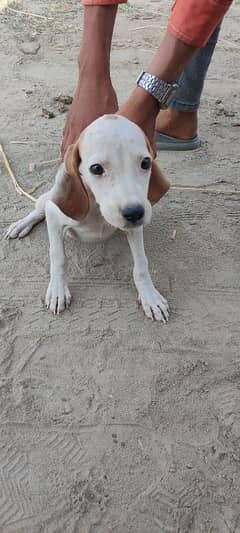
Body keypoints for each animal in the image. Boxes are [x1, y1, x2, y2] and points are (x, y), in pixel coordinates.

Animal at [6, 115, 171, 320]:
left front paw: (150, 296)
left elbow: (141, 264)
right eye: (96, 169)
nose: (134, 213)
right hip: (50, 199)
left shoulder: (135, 228)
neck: (95, 208)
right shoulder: (54, 217)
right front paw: (58, 290)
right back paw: (21, 224)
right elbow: (58, 257)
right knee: (39, 208)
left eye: (146, 163)